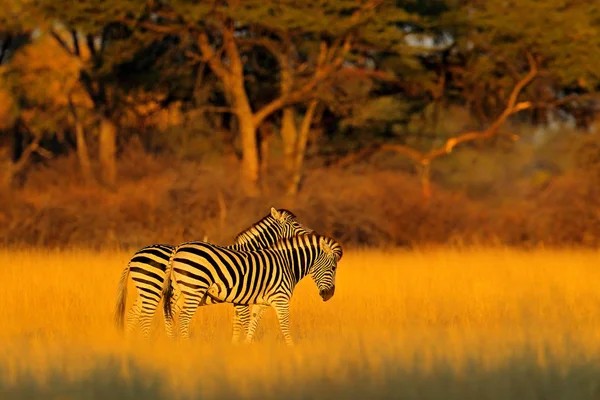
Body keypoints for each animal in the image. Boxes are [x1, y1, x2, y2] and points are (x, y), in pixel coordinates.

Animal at [113, 206, 312, 340]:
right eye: (295, 223)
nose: (313, 233)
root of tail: (134, 256)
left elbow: (237, 322)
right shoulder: (242, 294)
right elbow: (242, 321)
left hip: (146, 290)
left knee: (133, 314)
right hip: (153, 288)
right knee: (145, 316)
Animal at [163, 231, 342, 346]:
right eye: (333, 268)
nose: (330, 295)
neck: (288, 264)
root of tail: (178, 248)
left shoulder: (261, 303)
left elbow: (252, 324)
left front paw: (247, 347)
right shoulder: (280, 298)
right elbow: (284, 324)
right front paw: (292, 348)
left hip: (179, 291)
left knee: (170, 315)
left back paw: (172, 343)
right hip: (194, 288)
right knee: (184, 318)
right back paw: (187, 345)